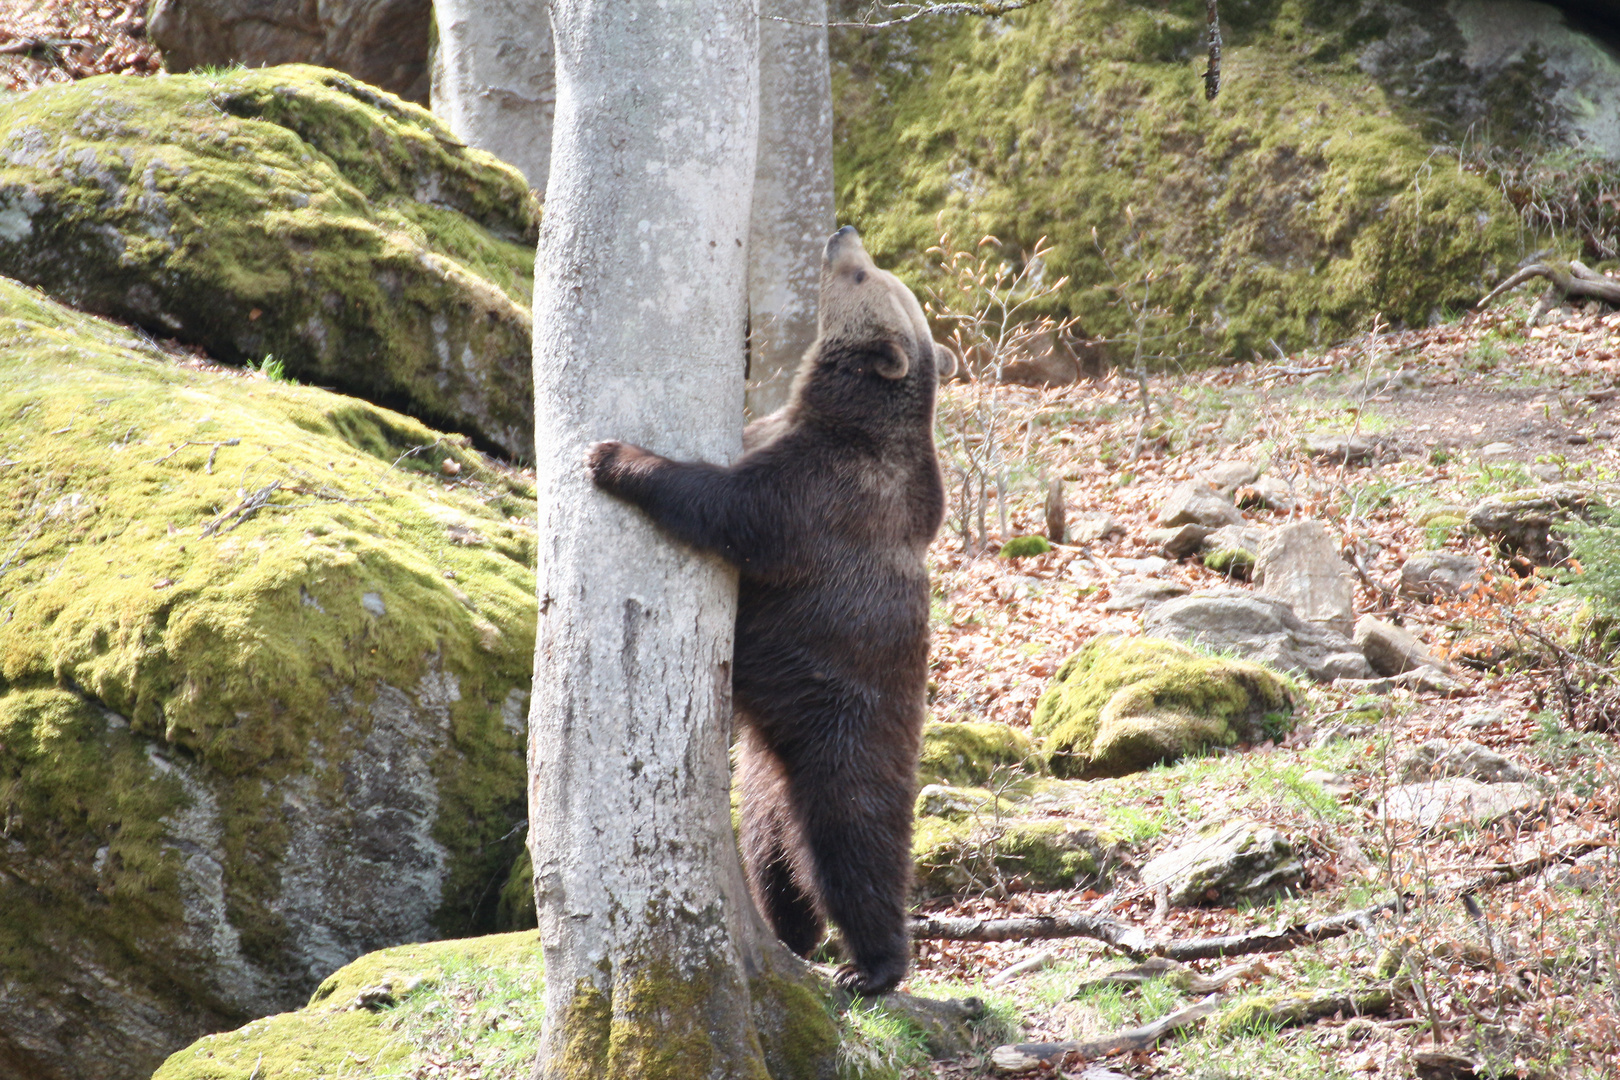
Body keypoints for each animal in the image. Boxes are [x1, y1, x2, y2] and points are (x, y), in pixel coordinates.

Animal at [589, 228, 952, 997]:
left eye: (863, 275)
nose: (844, 233)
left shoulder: (816, 501)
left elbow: (721, 506)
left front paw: (613, 457)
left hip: (844, 728)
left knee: (856, 845)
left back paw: (874, 966)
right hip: (762, 783)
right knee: (775, 863)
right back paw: (790, 934)